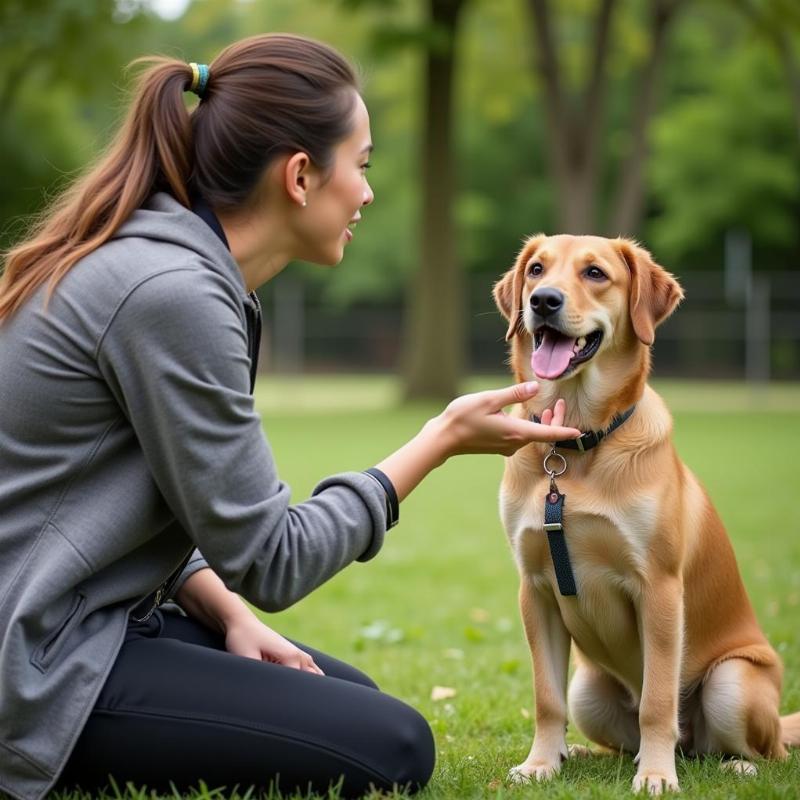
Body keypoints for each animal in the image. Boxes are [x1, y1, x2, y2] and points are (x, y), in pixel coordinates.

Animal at [490, 234, 796, 792]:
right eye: (537, 269)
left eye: (594, 273)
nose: (542, 300)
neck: (576, 446)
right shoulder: (536, 589)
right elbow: (546, 698)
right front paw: (541, 763)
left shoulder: (659, 589)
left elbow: (657, 700)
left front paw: (656, 776)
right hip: (588, 691)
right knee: (617, 738)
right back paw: (580, 753)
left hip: (733, 681)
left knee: (763, 752)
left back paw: (727, 763)